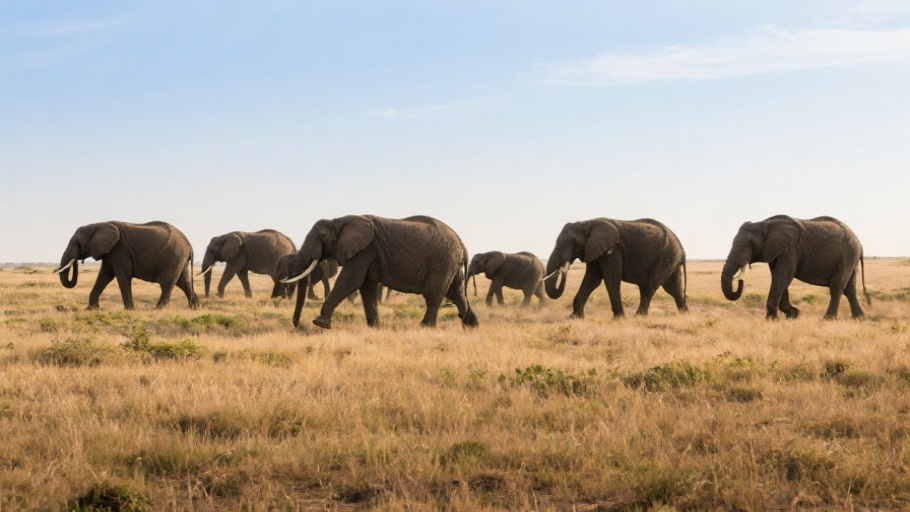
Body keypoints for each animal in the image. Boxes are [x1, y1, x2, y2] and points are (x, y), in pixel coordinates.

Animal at [56, 221, 199, 310]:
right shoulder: (111, 252)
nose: (77, 260)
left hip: (173, 257)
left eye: (78, 243)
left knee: (167, 283)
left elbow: (122, 275)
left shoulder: (119, 250)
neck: (99, 224)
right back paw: (195, 308)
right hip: (180, 259)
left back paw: (158, 309)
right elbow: (105, 276)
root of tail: (189, 244)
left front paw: (128, 309)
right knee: (184, 282)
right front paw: (91, 309)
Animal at [283, 214, 478, 329]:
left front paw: (320, 323)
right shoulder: (368, 253)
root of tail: (461, 243)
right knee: (456, 293)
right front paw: (374, 327)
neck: (339, 220)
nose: (297, 325)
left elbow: (350, 281)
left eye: (322, 236)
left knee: (433, 293)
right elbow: (366, 286)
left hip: (442, 260)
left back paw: (425, 327)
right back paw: (471, 326)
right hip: (450, 263)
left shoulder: (365, 250)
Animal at [544, 218, 688, 318]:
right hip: (670, 259)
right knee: (673, 288)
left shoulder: (613, 251)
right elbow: (592, 280)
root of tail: (681, 248)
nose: (564, 267)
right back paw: (685, 314)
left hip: (665, 257)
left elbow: (610, 279)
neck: (586, 223)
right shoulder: (596, 251)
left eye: (573, 244)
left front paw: (619, 319)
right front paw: (574, 318)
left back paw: (638, 317)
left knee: (648, 287)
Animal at [721, 215, 869, 319]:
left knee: (836, 286)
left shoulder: (792, 249)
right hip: (850, 258)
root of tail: (860, 244)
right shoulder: (777, 251)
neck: (764, 222)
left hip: (847, 254)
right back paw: (859, 318)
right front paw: (793, 314)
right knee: (849, 288)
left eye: (751, 244)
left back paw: (827, 319)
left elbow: (783, 276)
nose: (740, 280)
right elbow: (779, 277)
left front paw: (771, 319)